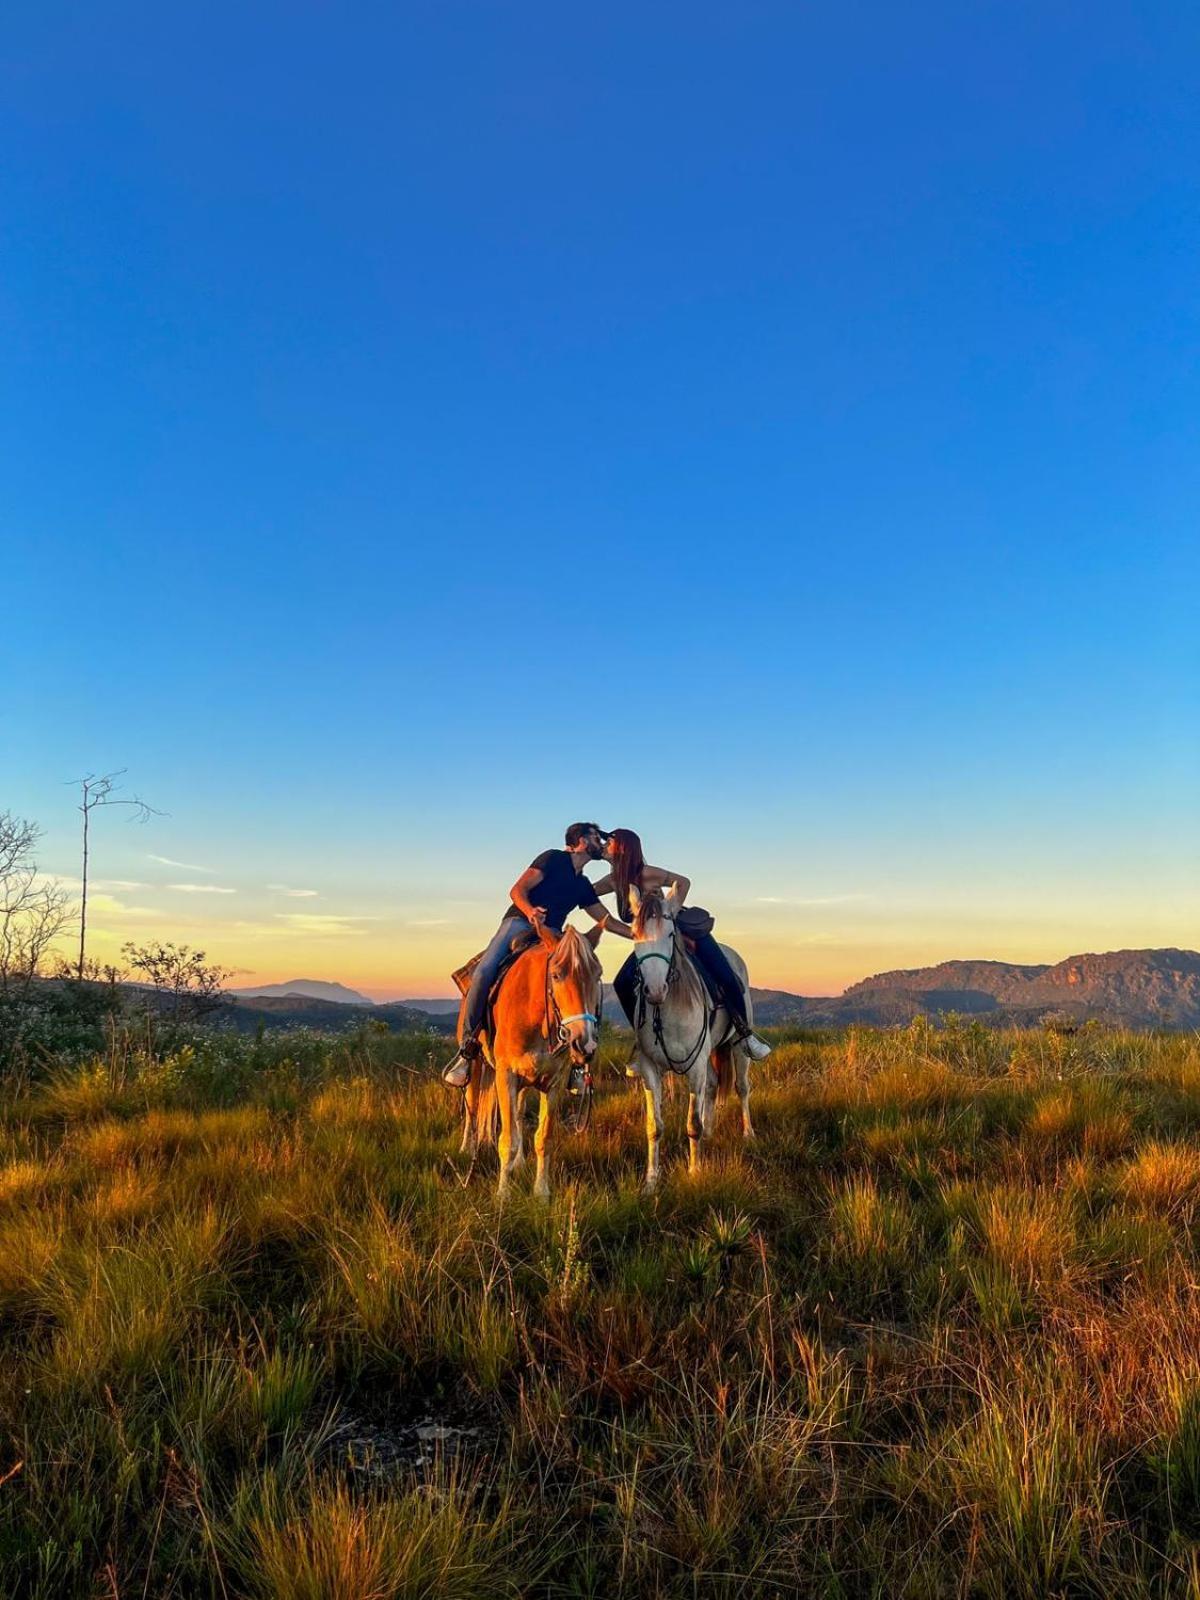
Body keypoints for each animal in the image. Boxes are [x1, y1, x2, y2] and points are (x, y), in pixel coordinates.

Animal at [464, 928, 604, 1203]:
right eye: (556, 975)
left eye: (598, 974)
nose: (585, 1043)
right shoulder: (506, 1076)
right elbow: (507, 1140)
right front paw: (503, 1195)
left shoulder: (554, 1083)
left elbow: (543, 1138)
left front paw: (541, 1192)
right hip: (476, 1066)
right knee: (471, 1107)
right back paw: (467, 1149)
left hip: (524, 1082)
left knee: (517, 1114)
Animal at [630, 883, 761, 1196]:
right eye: (634, 936)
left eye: (670, 934)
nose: (655, 990)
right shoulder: (650, 1069)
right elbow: (654, 1126)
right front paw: (651, 1181)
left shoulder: (695, 1068)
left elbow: (693, 1124)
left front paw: (694, 1172)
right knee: (713, 1086)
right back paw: (712, 1134)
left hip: (737, 1047)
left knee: (741, 1087)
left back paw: (748, 1133)